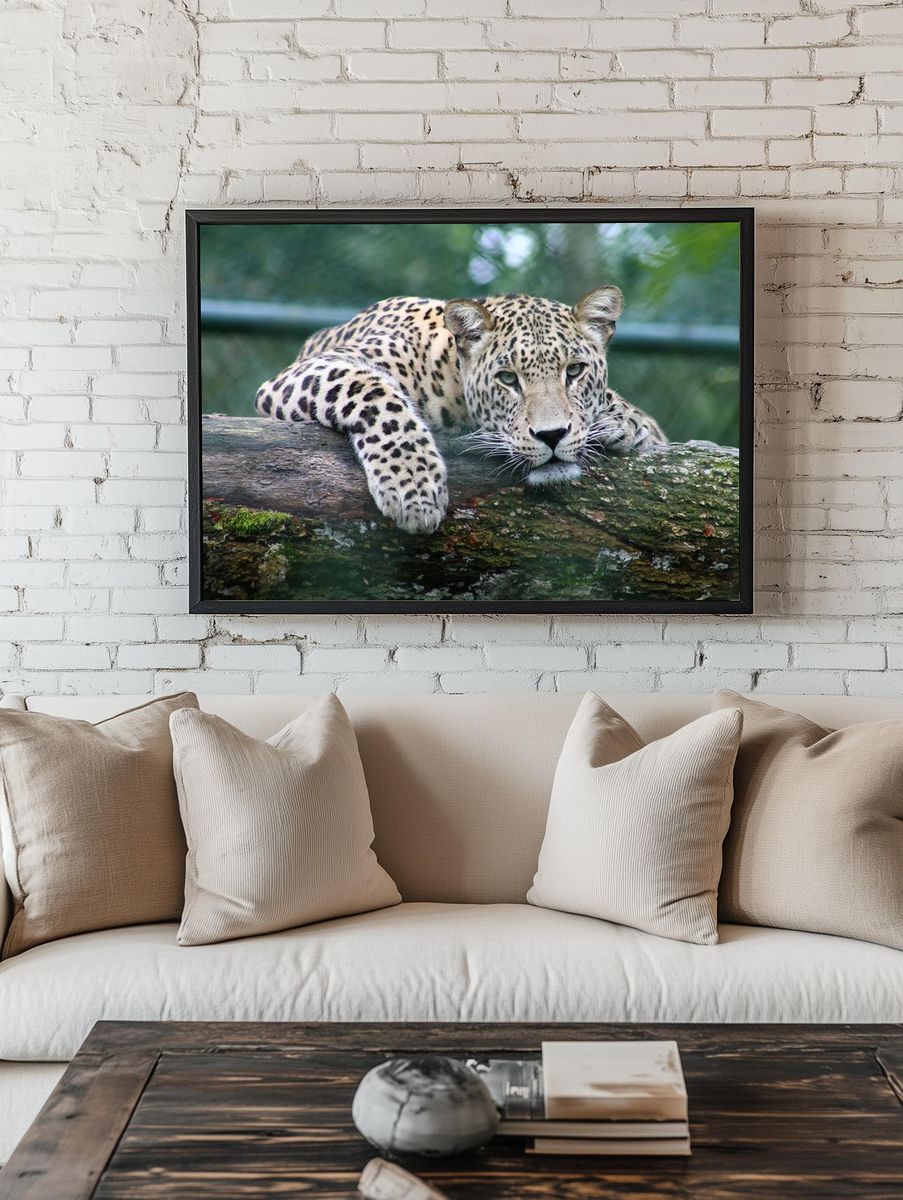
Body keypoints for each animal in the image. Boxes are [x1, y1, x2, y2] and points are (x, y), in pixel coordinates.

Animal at [254, 286, 666, 534]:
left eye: (575, 371)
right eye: (507, 378)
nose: (551, 436)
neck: (450, 376)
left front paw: (625, 420)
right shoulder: (307, 371)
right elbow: (374, 392)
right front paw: (413, 485)